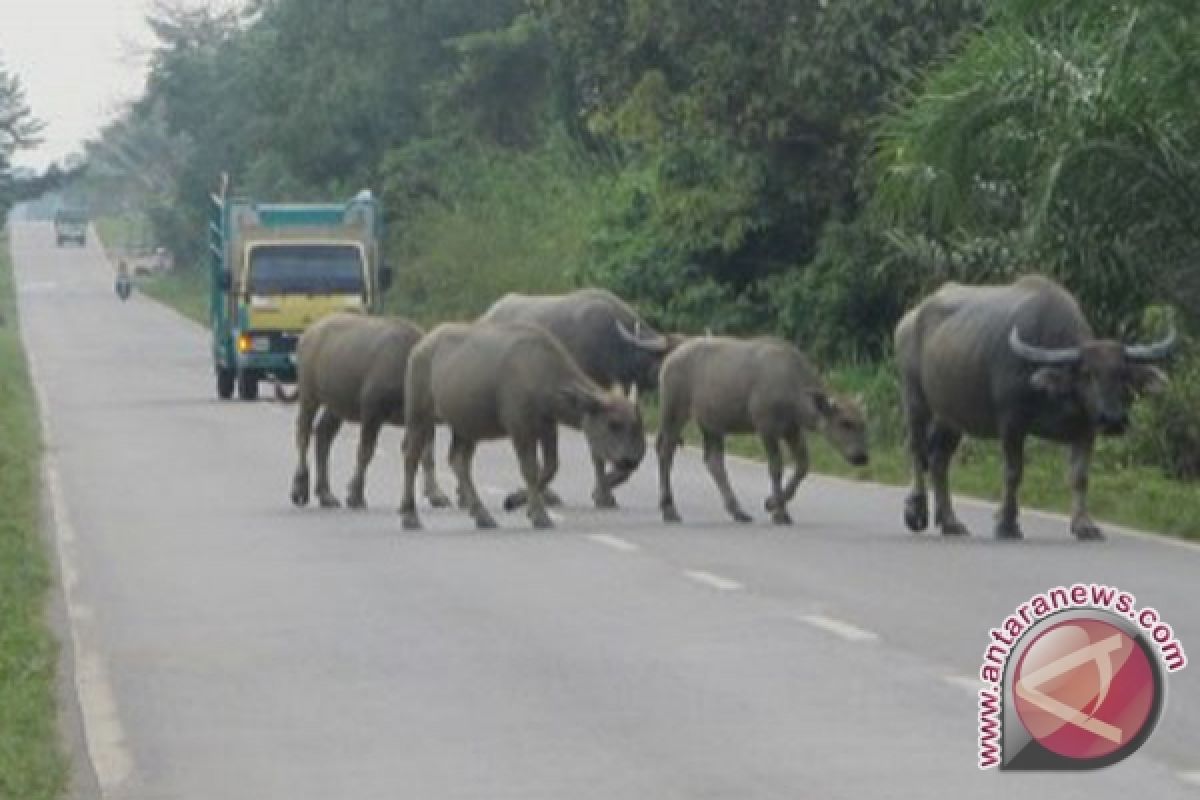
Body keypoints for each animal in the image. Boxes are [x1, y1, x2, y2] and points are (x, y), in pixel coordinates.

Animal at [280, 314, 451, 513]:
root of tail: (307, 334)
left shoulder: (423, 421)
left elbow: (427, 455)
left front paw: (437, 495)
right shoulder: (371, 412)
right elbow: (365, 451)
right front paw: (355, 494)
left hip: (335, 405)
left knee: (323, 435)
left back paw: (326, 494)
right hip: (309, 395)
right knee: (303, 434)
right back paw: (300, 488)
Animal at [400, 319, 648, 532]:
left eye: (638, 424)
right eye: (613, 424)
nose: (631, 460)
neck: (542, 374)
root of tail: (419, 348)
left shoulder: (548, 427)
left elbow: (549, 467)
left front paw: (515, 501)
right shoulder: (520, 429)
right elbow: (530, 469)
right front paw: (540, 515)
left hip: (465, 428)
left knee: (459, 462)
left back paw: (482, 516)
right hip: (419, 418)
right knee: (411, 457)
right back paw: (409, 515)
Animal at [477, 291, 686, 510]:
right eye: (670, 361)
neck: (616, 348)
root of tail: (487, 315)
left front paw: (603, 488)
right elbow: (598, 453)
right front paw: (603, 495)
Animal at [657, 335, 873, 525]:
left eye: (864, 424)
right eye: (845, 423)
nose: (861, 456)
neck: (794, 395)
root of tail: (667, 361)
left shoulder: (792, 429)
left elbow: (803, 465)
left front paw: (772, 503)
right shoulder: (767, 427)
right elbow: (776, 467)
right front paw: (779, 511)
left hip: (711, 425)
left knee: (713, 461)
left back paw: (738, 511)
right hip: (674, 411)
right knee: (666, 451)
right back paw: (669, 509)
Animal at [902, 272, 1171, 542]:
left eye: (1123, 374)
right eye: (1087, 374)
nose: (1114, 419)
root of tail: (910, 318)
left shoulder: (1086, 429)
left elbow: (1080, 477)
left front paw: (1084, 525)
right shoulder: (1011, 423)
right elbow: (1013, 472)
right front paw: (1007, 524)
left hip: (950, 417)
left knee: (938, 460)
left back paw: (950, 522)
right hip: (916, 401)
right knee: (917, 449)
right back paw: (916, 512)